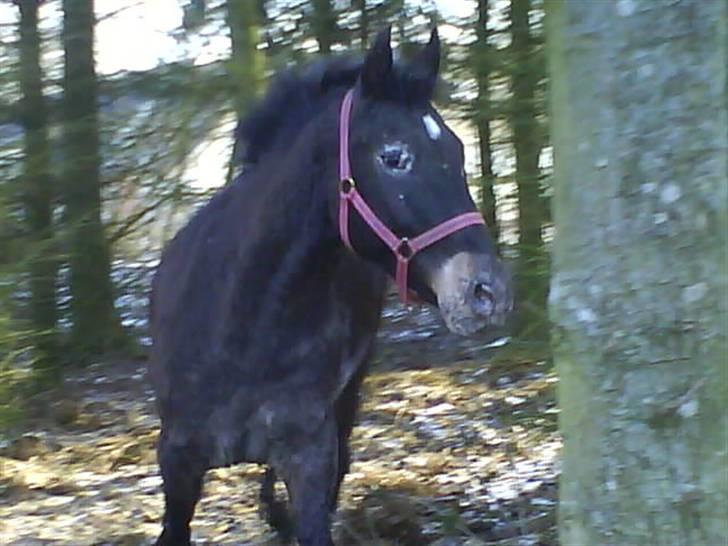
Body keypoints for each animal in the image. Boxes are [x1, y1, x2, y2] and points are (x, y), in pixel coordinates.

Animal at [148, 26, 512, 544]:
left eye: (458, 152)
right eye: (394, 156)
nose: (486, 292)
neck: (244, 328)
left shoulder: (310, 458)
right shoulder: (178, 465)